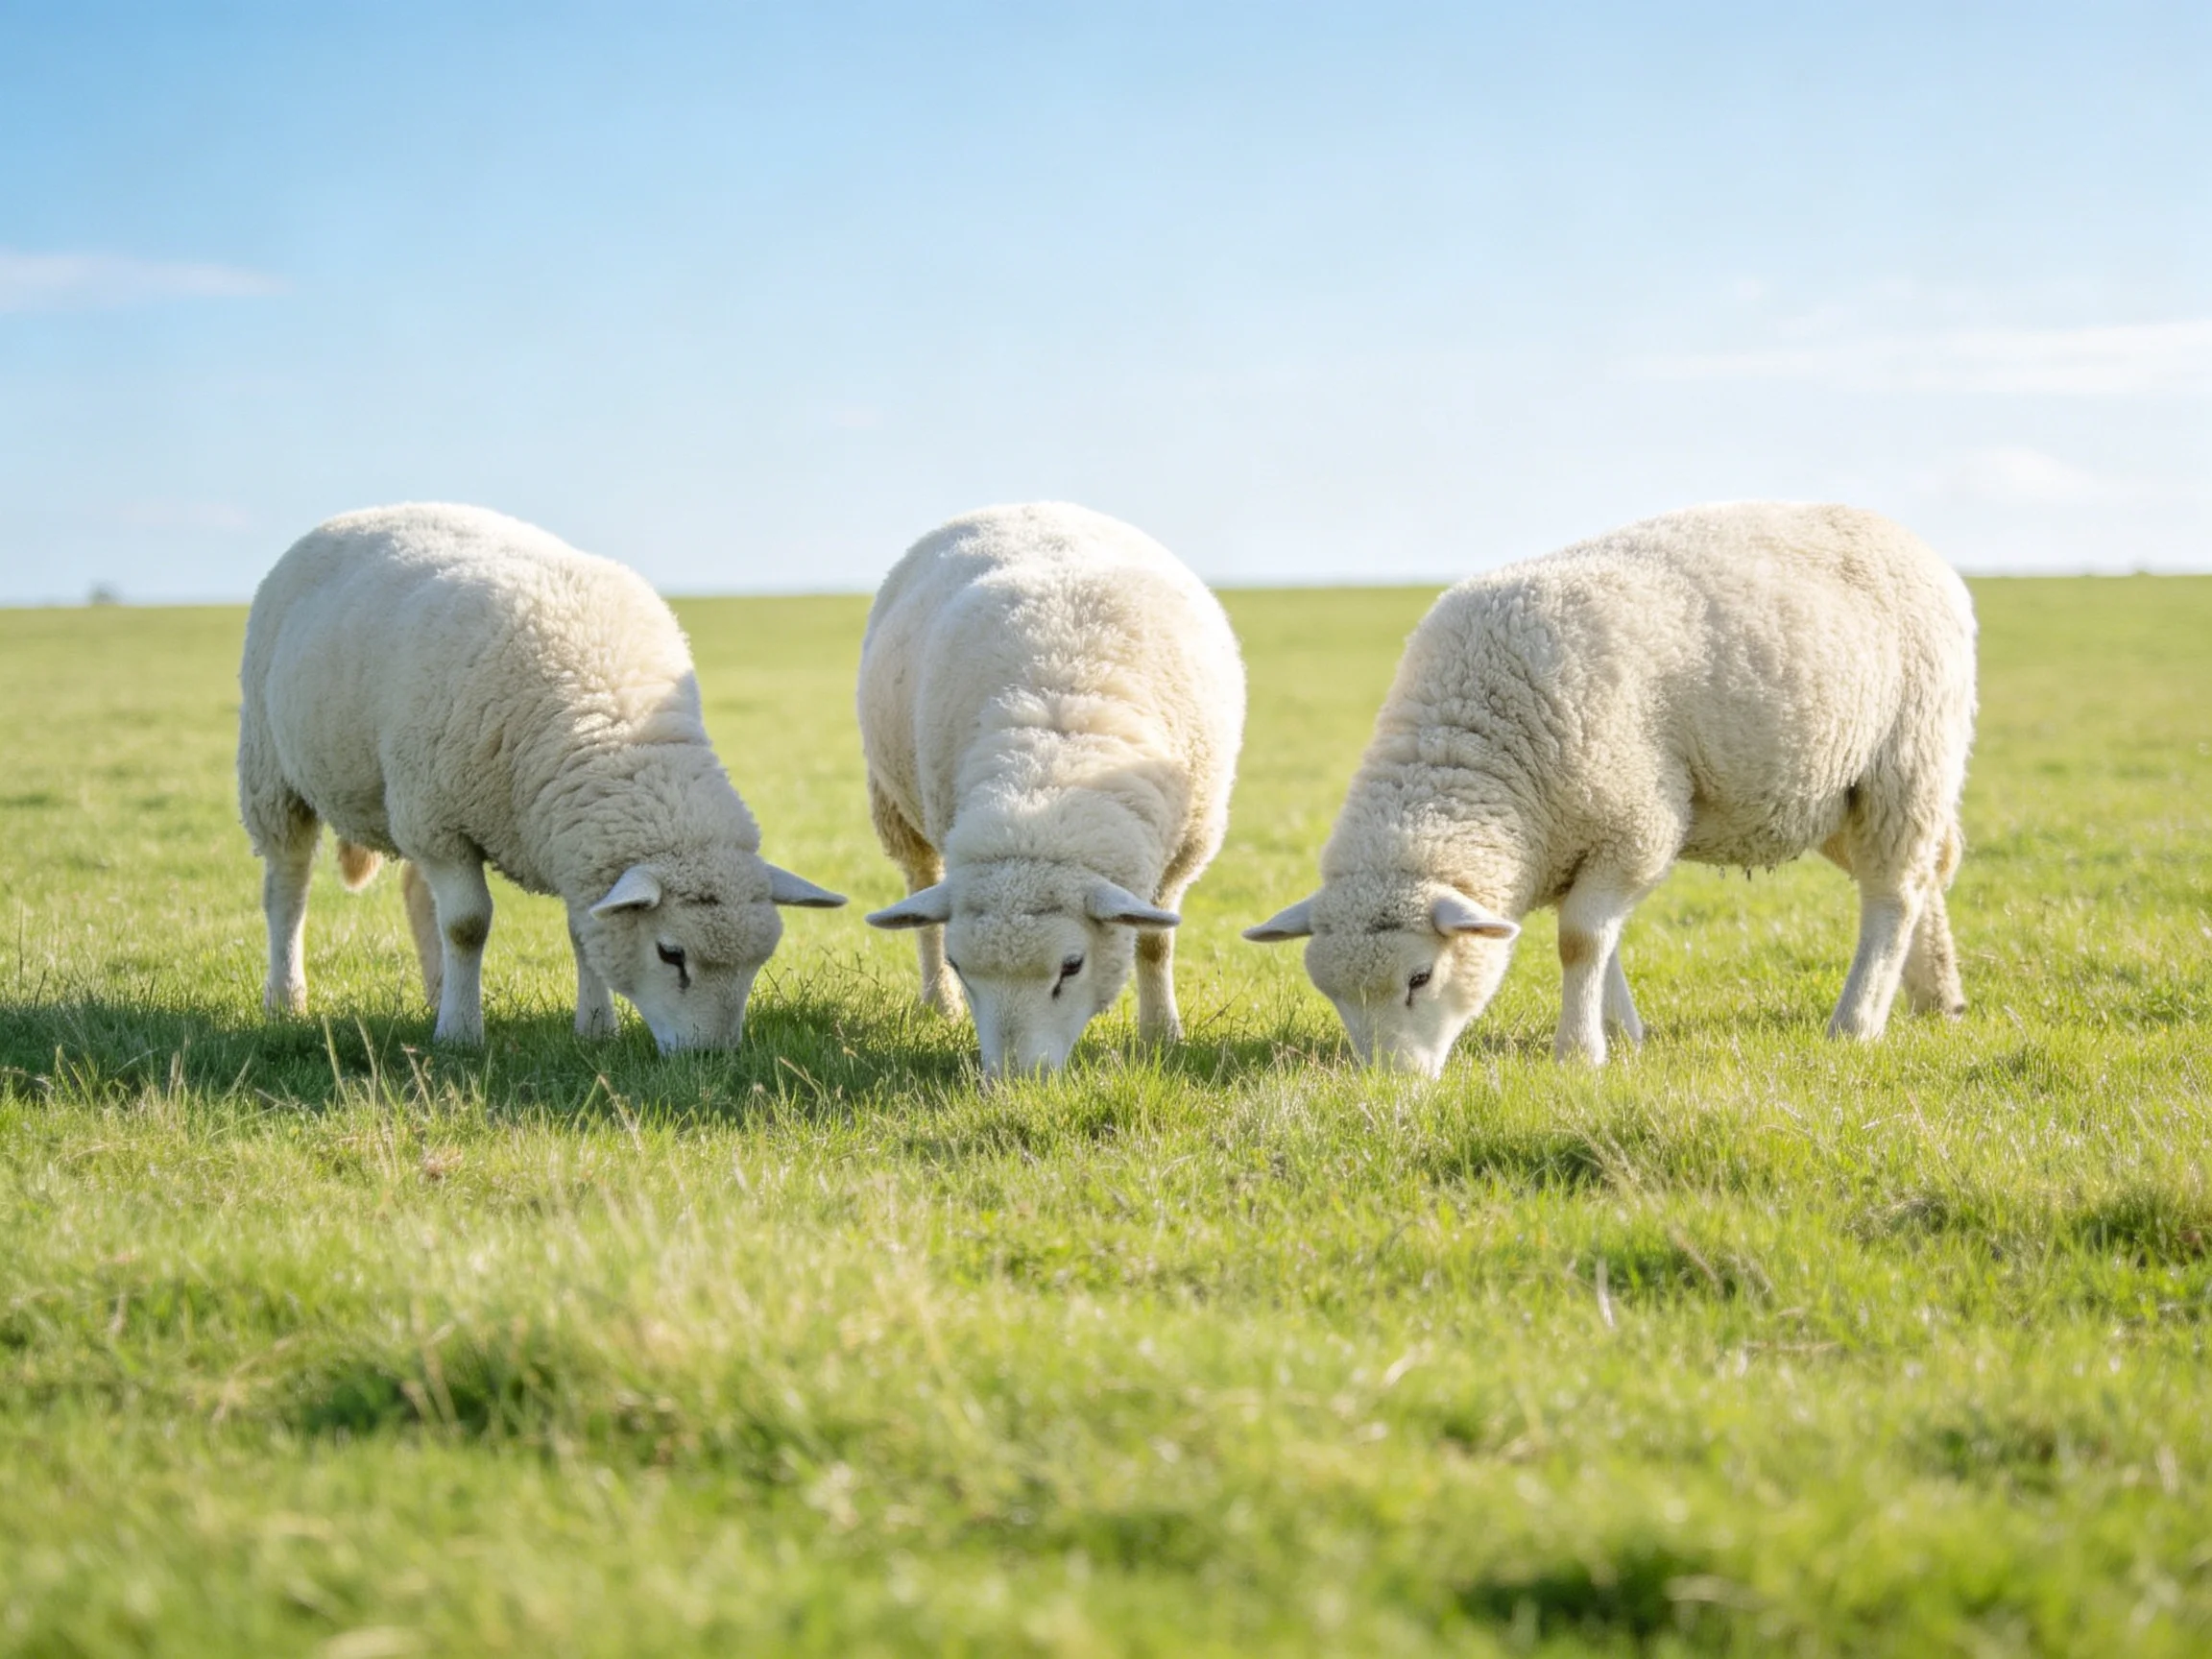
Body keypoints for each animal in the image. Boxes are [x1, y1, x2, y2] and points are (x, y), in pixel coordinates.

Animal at [237, 502, 845, 1051]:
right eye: (671, 954)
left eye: (759, 962)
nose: (711, 1057)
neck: (608, 715)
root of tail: (358, 513)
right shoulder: (440, 822)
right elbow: (468, 925)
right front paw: (461, 1035)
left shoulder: (563, 842)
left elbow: (581, 931)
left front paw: (596, 1028)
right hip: (273, 773)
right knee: (288, 888)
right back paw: (286, 998)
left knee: (415, 893)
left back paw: (438, 991)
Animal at [858, 502, 1246, 1077]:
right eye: (960, 963)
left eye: (1071, 966)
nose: (1015, 1080)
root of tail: (1024, 503)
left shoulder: (1185, 849)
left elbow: (1154, 943)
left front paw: (1162, 1035)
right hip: (896, 806)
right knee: (922, 893)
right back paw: (939, 1004)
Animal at [1244, 501, 1976, 1076]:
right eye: (1332, 995)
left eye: (1420, 978)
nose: (1389, 1084)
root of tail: (1912, 542)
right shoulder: (1579, 840)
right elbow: (1606, 942)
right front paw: (1623, 1036)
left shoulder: (1635, 823)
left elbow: (1581, 941)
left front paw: (1579, 1052)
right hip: (1828, 795)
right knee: (1924, 877)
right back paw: (1936, 999)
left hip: (1907, 758)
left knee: (1893, 894)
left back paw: (1857, 1023)